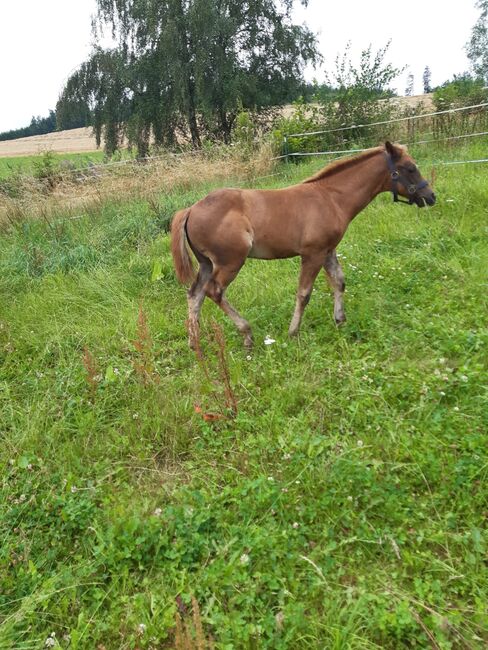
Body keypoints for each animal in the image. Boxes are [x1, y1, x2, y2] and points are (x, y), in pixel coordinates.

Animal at [171, 140, 434, 346]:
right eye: (410, 168)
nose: (431, 197)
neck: (331, 198)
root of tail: (191, 209)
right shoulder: (313, 253)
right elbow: (304, 293)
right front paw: (293, 332)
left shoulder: (328, 250)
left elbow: (339, 281)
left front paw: (340, 321)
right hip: (231, 261)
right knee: (214, 291)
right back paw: (247, 334)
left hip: (207, 263)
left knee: (195, 294)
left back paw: (194, 343)